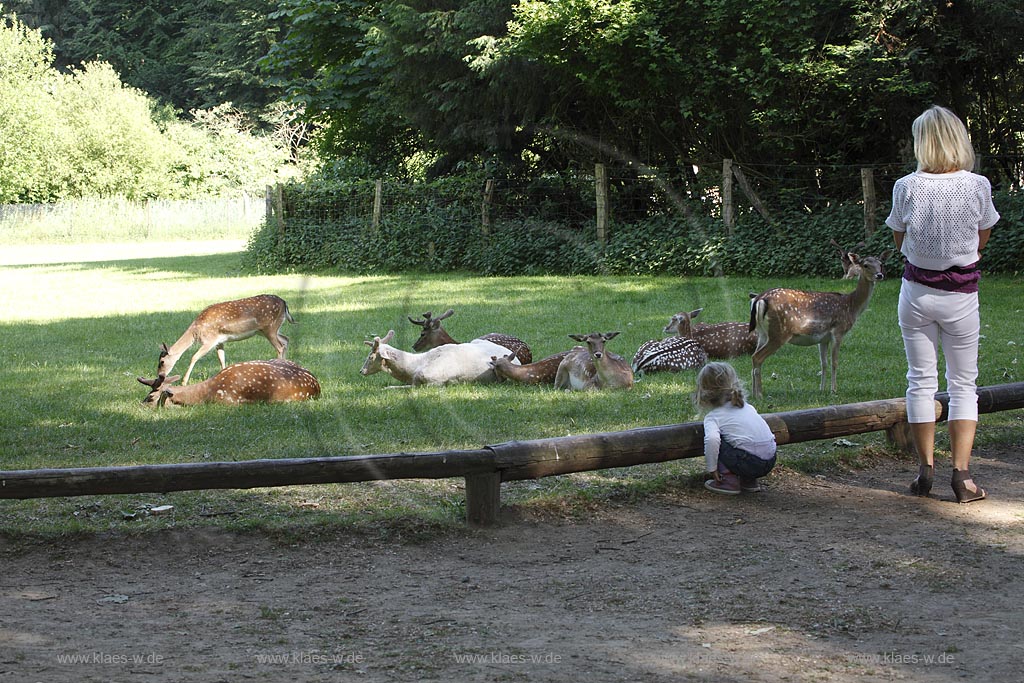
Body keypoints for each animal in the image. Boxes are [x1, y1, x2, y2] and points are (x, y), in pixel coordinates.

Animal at [153, 294, 296, 387]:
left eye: (162, 362)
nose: (160, 375)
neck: (196, 332)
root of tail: (284, 303)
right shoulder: (219, 342)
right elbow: (221, 358)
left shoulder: (209, 340)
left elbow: (194, 357)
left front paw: (184, 382)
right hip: (267, 330)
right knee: (286, 339)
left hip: (269, 328)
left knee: (280, 346)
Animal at [749, 249, 892, 401]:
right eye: (865, 265)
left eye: (880, 264)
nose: (879, 275)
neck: (851, 305)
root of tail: (759, 299)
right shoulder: (838, 331)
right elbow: (835, 362)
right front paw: (834, 390)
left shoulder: (823, 339)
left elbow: (824, 363)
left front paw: (822, 389)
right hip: (779, 332)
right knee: (758, 357)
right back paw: (759, 394)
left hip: (762, 333)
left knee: (753, 357)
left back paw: (753, 393)